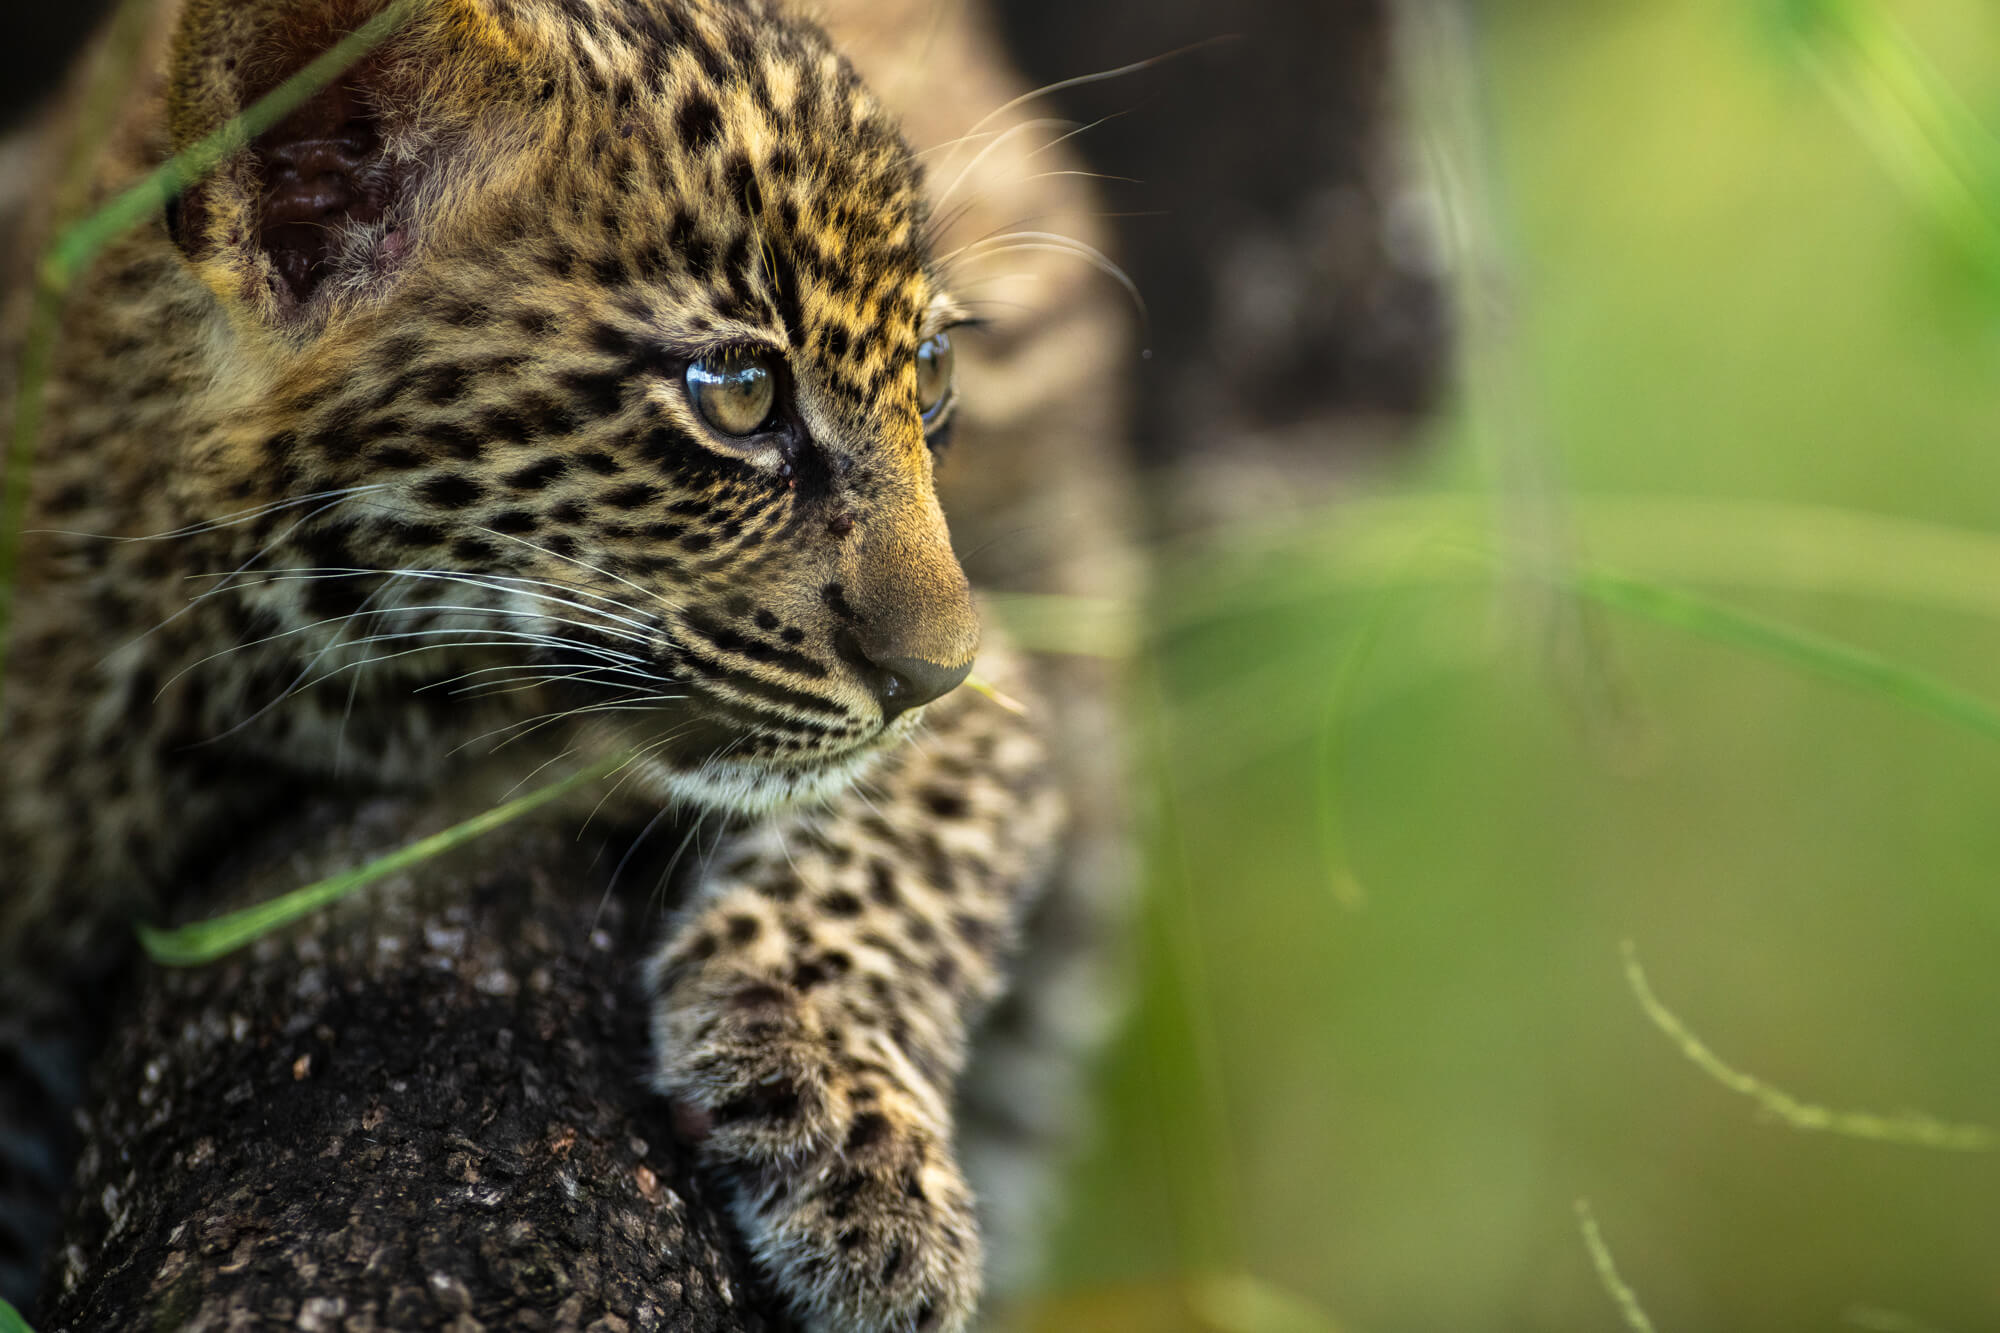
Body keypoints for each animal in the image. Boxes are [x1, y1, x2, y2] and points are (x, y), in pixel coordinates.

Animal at [0, 0, 1137, 1328]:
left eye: (932, 374)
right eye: (737, 394)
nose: (935, 676)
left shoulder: (993, 708)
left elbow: (893, 864)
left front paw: (850, 1151)